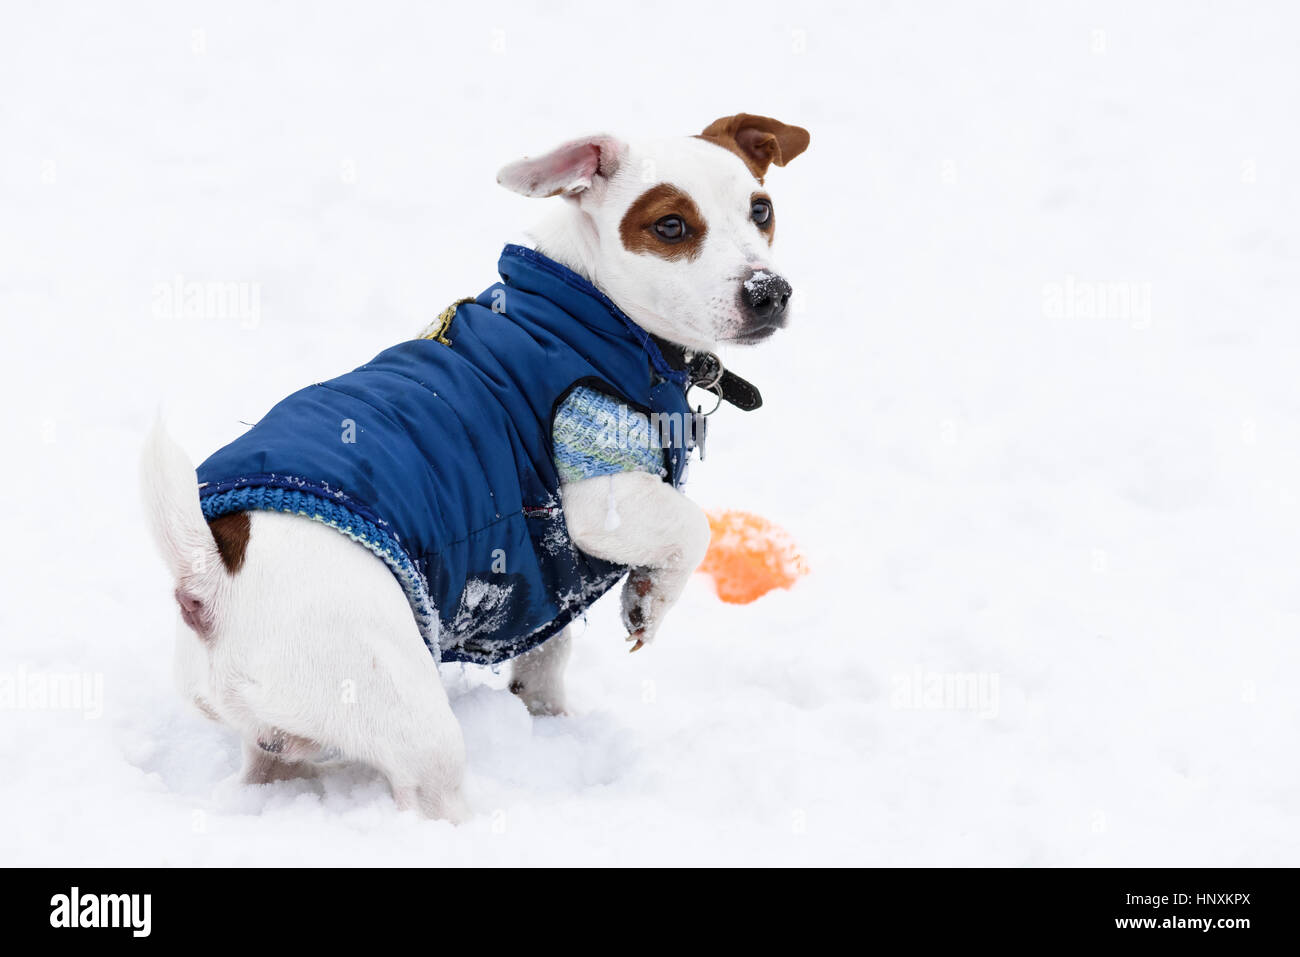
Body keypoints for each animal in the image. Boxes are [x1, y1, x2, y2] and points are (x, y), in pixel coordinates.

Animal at [144, 110, 811, 816]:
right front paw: (648, 603)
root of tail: (208, 574)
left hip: (274, 737)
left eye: (761, 209)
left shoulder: (550, 584)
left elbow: (548, 659)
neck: (591, 309)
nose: (770, 292)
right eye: (671, 226)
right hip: (407, 716)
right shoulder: (596, 501)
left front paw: (551, 720)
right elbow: (694, 525)